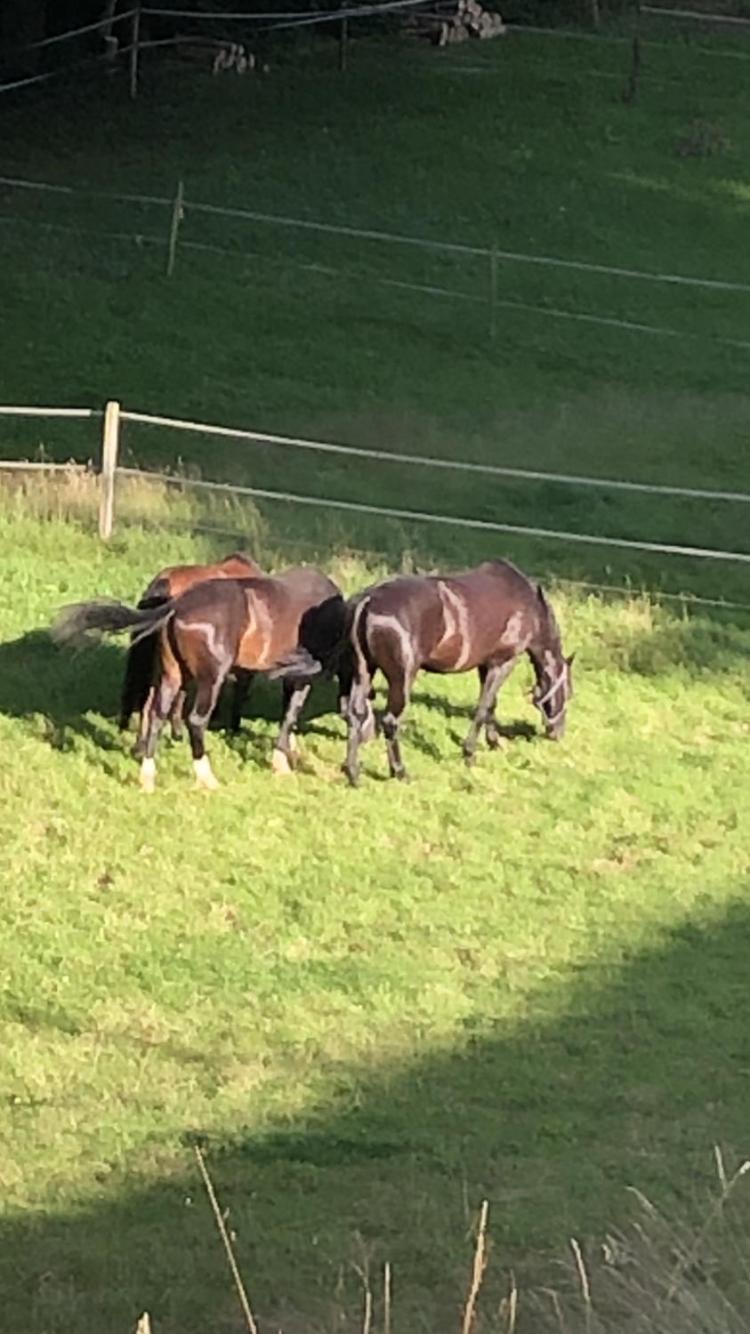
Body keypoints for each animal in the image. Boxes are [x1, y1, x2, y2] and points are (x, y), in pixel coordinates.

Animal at [340, 560, 571, 784]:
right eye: (568, 694)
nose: (558, 734)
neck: (528, 605)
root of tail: (368, 599)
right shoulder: (503, 662)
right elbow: (483, 706)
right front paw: (469, 753)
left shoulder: (485, 665)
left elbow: (491, 704)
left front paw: (494, 742)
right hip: (401, 678)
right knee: (390, 721)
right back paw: (400, 772)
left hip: (363, 671)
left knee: (355, 714)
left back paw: (353, 773)